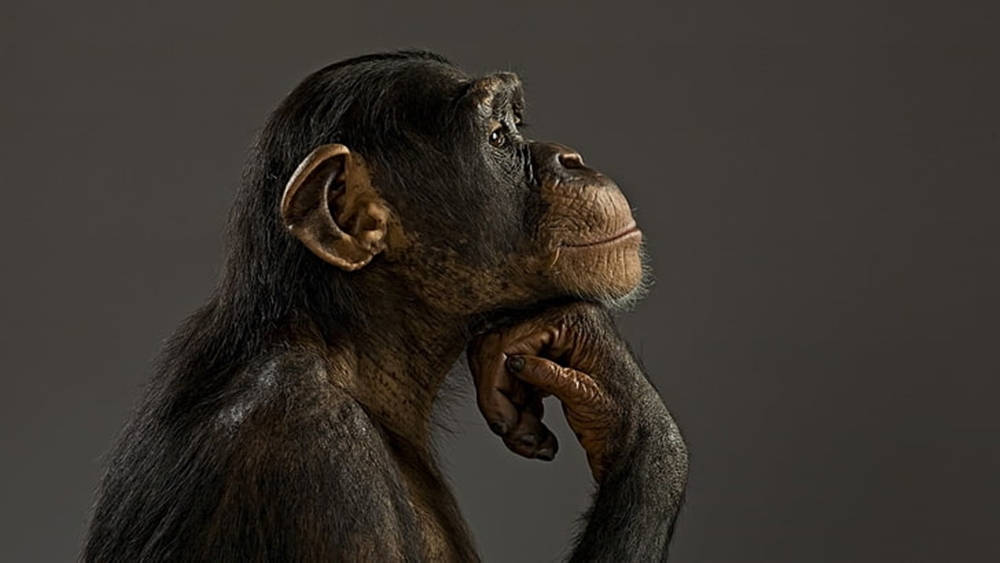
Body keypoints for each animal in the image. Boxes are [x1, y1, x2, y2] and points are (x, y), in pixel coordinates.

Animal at [84, 50, 687, 562]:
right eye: (497, 136)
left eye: (517, 125)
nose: (572, 158)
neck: (346, 348)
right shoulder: (318, 466)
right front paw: (628, 404)